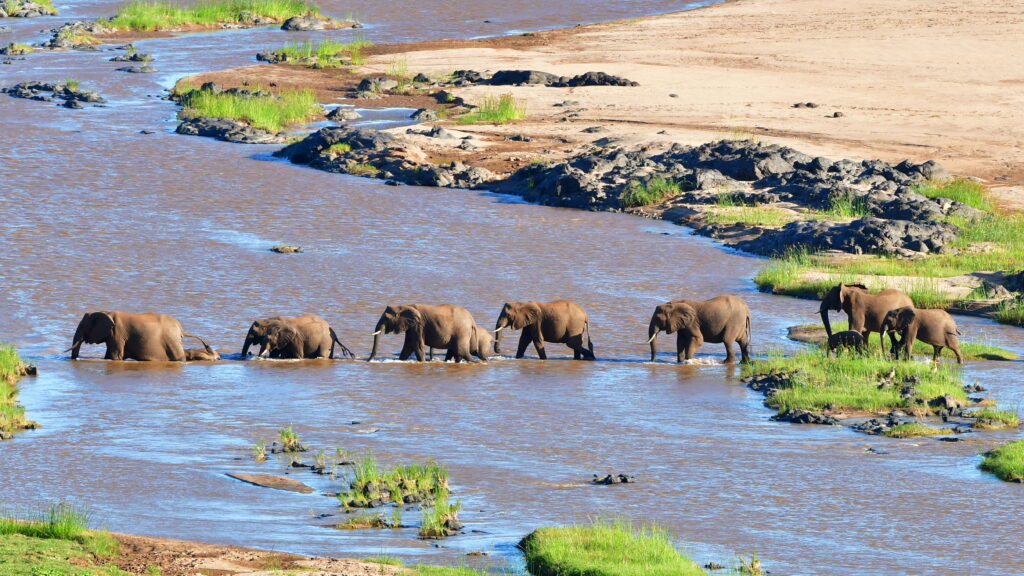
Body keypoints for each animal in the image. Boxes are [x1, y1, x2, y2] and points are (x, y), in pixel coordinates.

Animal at [68, 311, 211, 362]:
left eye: (83, 327)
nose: (75, 360)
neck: (107, 312)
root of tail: (181, 329)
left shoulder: (117, 334)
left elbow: (115, 356)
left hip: (172, 341)